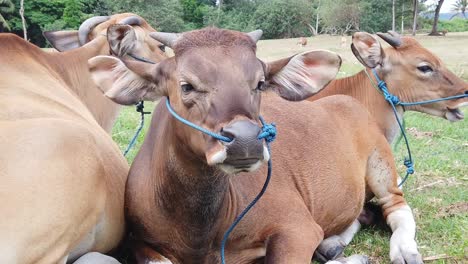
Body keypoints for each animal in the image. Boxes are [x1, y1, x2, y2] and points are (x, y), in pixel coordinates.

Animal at [89, 26, 422, 264]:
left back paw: (404, 250)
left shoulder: (297, 229)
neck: (199, 231)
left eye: (260, 83)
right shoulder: (138, 241)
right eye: (186, 85)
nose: (246, 140)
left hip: (381, 165)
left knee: (395, 206)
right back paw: (333, 245)